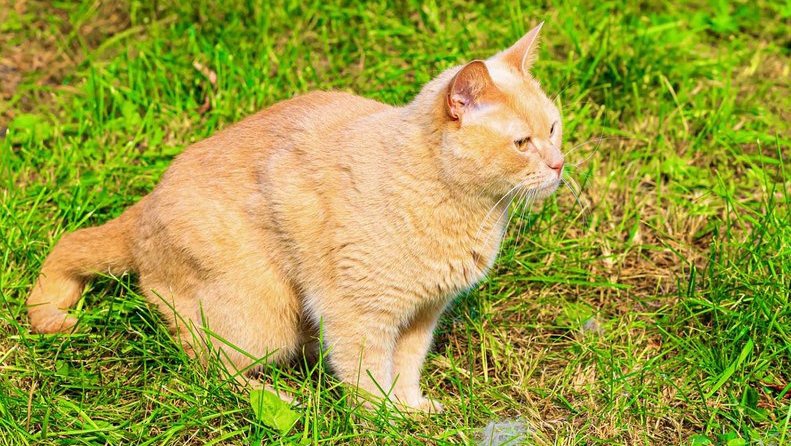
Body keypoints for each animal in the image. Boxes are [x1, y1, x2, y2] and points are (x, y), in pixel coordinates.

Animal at [27, 20, 564, 412]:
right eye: (522, 143)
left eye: (554, 128)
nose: (559, 164)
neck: (463, 210)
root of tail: (142, 209)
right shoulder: (358, 314)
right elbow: (368, 375)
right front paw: (385, 419)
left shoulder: (422, 315)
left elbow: (406, 368)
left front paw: (412, 409)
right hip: (262, 318)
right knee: (206, 364)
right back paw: (276, 398)